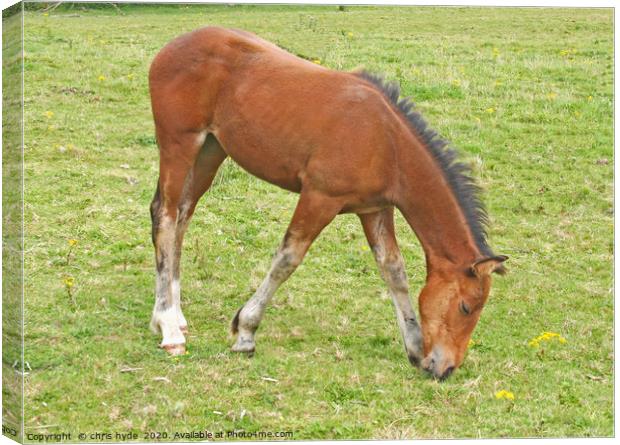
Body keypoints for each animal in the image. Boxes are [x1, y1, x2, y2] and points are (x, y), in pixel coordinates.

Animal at [148, 26, 506, 378]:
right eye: (466, 307)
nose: (445, 368)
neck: (385, 142)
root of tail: (170, 47)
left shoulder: (375, 210)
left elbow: (394, 271)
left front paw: (415, 346)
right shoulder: (319, 198)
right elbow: (287, 259)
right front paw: (246, 331)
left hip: (211, 150)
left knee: (180, 216)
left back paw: (173, 315)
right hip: (179, 145)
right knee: (166, 216)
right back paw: (169, 328)